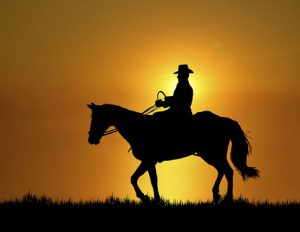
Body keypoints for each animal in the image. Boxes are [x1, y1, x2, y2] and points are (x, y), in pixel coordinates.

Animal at [87, 103, 260, 203]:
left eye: (97, 117)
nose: (91, 139)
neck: (138, 127)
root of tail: (223, 120)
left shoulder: (149, 160)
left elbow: (145, 180)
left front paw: (148, 198)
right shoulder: (148, 161)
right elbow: (139, 178)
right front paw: (151, 198)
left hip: (211, 154)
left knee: (227, 171)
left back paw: (227, 197)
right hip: (211, 154)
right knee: (223, 170)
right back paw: (216, 194)